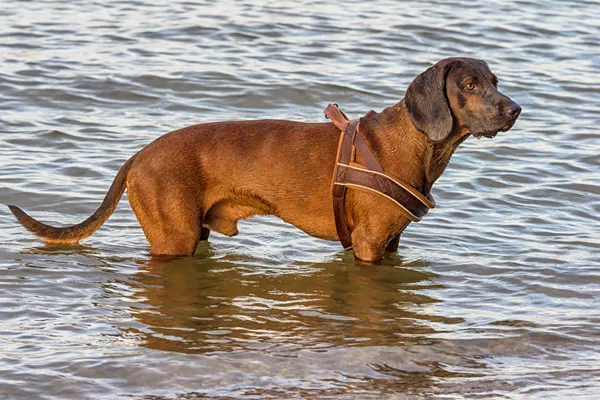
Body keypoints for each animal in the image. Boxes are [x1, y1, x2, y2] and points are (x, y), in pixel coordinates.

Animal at [8, 57, 520, 262]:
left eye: (494, 80)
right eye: (469, 84)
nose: (515, 109)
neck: (415, 142)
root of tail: (138, 155)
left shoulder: (390, 244)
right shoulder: (370, 245)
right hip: (174, 239)